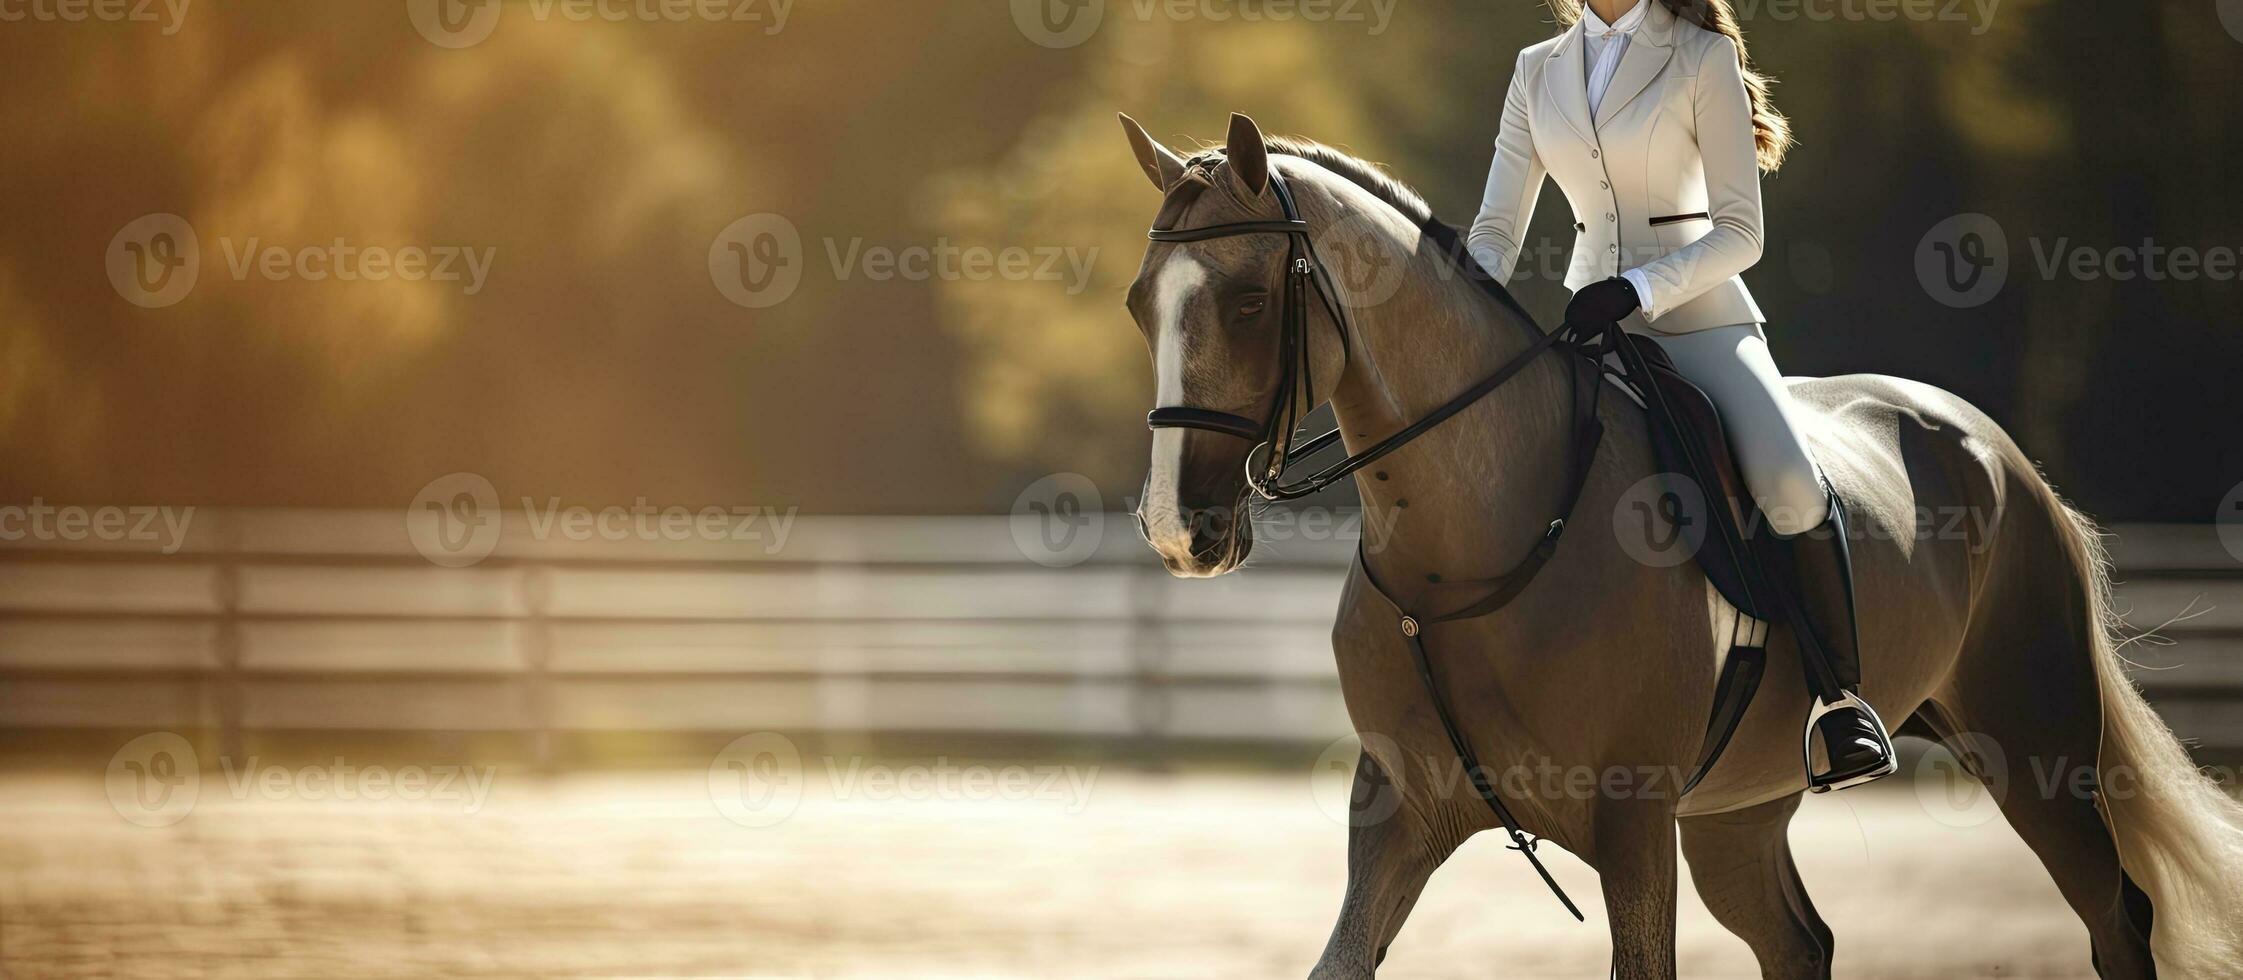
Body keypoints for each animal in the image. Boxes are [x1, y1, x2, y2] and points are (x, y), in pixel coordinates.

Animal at [1108, 112, 2243, 977]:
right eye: (1138, 303)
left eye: (1248, 299)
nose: (1178, 529)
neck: (1475, 545)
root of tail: (1996, 453)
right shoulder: (1396, 813)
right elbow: (1338, 959)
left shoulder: (1632, 823)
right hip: (1741, 809)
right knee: (1799, 942)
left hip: (2035, 747)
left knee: (2116, 920)